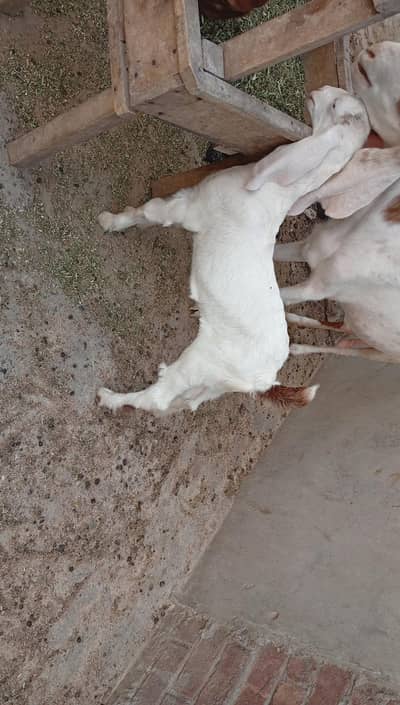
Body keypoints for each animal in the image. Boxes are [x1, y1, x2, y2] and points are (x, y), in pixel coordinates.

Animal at [96, 87, 368, 416]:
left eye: (335, 104)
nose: (316, 91)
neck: (276, 188)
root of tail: (265, 380)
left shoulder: (189, 208)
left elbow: (149, 211)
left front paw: (110, 221)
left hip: (203, 361)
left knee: (159, 397)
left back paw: (110, 397)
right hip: (214, 383)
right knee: (183, 402)